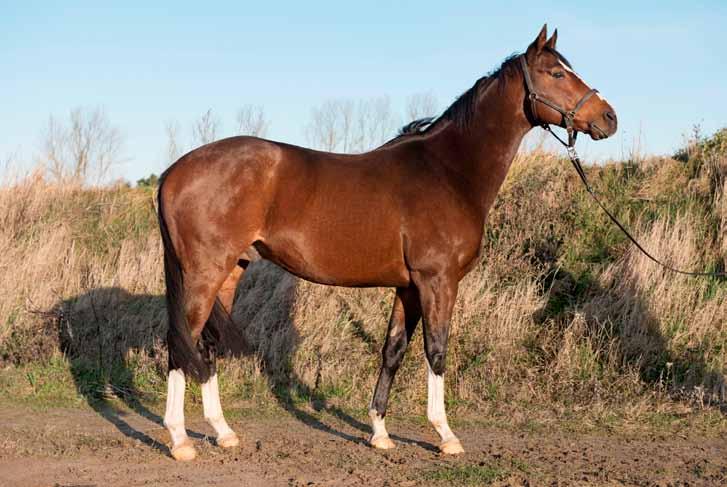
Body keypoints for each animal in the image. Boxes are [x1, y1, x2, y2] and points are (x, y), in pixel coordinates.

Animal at [156, 25, 616, 462]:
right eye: (557, 73)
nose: (609, 118)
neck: (449, 170)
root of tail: (174, 171)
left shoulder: (408, 287)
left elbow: (392, 350)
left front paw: (379, 432)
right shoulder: (437, 281)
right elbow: (436, 350)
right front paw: (446, 435)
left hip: (229, 272)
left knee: (206, 345)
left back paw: (224, 433)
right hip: (204, 273)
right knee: (181, 343)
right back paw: (180, 440)